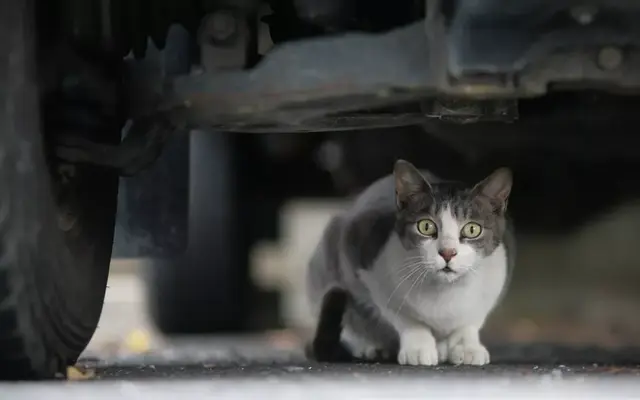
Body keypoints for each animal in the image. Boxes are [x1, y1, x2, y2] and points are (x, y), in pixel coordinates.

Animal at [306, 159, 516, 366]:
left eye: (472, 229)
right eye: (426, 226)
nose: (448, 252)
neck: (446, 292)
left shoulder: (497, 277)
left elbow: (470, 321)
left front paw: (466, 346)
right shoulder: (365, 253)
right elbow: (404, 316)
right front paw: (419, 346)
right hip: (330, 247)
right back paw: (370, 346)